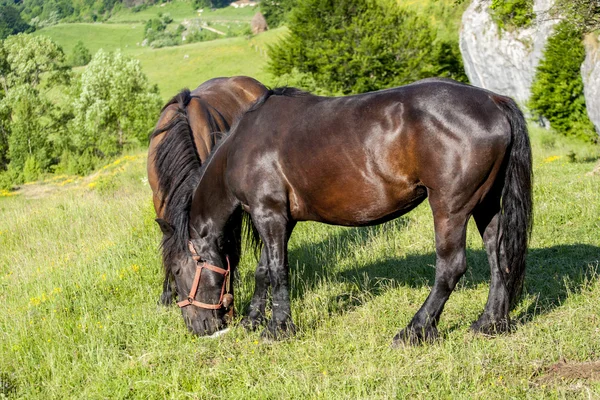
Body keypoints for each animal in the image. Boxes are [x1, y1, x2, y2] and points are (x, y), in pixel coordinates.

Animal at [162, 78, 532, 344]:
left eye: (177, 272)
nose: (198, 327)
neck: (241, 147)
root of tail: (494, 101)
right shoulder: (278, 218)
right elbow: (264, 270)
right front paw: (254, 322)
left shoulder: (269, 215)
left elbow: (278, 271)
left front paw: (277, 329)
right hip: (485, 204)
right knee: (498, 256)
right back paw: (490, 323)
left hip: (449, 207)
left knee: (450, 267)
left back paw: (414, 330)